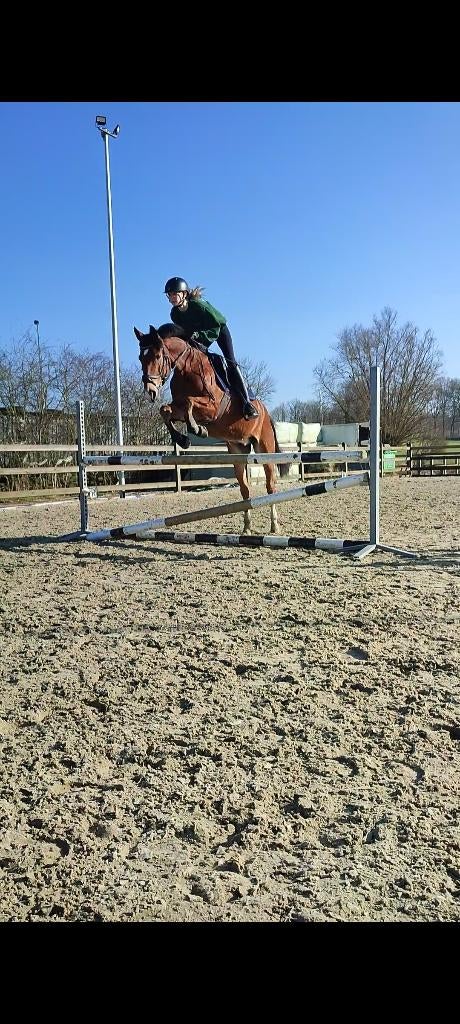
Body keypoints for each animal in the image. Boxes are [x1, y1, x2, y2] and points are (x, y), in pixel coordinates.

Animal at [134, 323, 288, 535]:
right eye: (141, 358)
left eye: (157, 356)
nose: (151, 391)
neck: (186, 369)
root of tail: (265, 411)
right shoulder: (177, 407)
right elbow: (165, 409)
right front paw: (183, 438)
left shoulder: (213, 408)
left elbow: (189, 402)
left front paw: (196, 429)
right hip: (237, 452)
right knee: (245, 490)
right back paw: (246, 528)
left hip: (264, 448)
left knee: (270, 486)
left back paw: (274, 526)